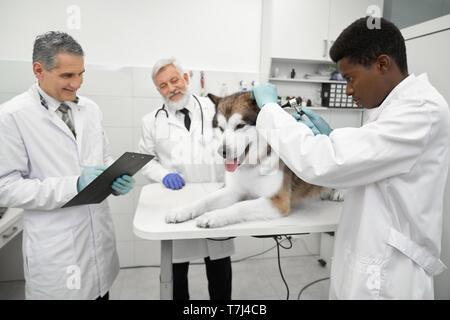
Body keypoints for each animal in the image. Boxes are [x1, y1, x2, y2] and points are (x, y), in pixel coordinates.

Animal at [165, 91, 344, 229]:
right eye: (221, 128)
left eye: (240, 126)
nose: (222, 152)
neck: (253, 165)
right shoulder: (234, 190)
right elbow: (205, 200)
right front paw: (182, 210)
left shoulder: (278, 202)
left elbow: (240, 206)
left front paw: (214, 216)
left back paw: (338, 192)